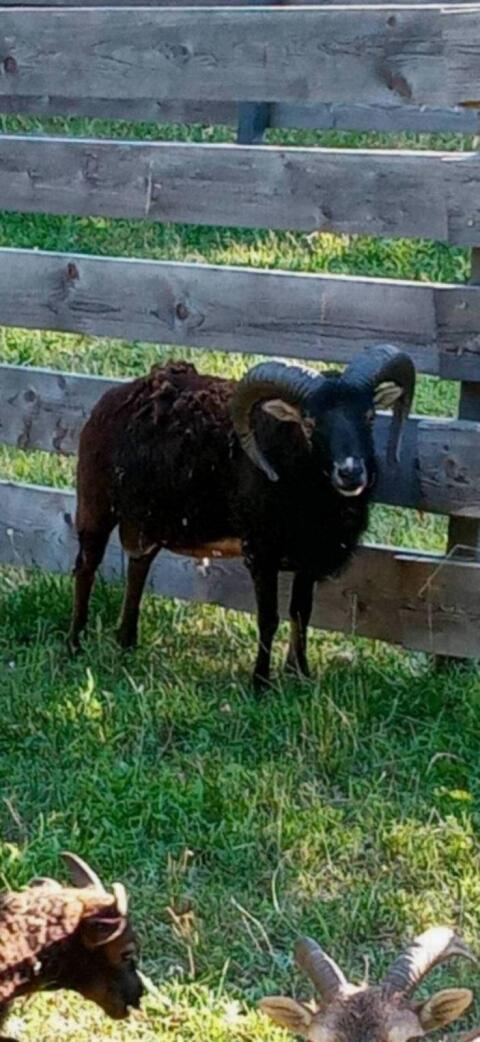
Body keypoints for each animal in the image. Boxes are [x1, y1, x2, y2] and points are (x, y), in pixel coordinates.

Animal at [69, 345, 415, 691]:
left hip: (147, 520)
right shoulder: (261, 553)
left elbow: (301, 613)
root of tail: (115, 396)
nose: (351, 473)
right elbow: (269, 618)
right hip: (95, 505)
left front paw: (300, 675)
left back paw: (126, 642)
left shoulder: (308, 556)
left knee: (138, 566)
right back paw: (75, 643)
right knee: (85, 568)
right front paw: (260, 683)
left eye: (369, 417)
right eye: (309, 423)